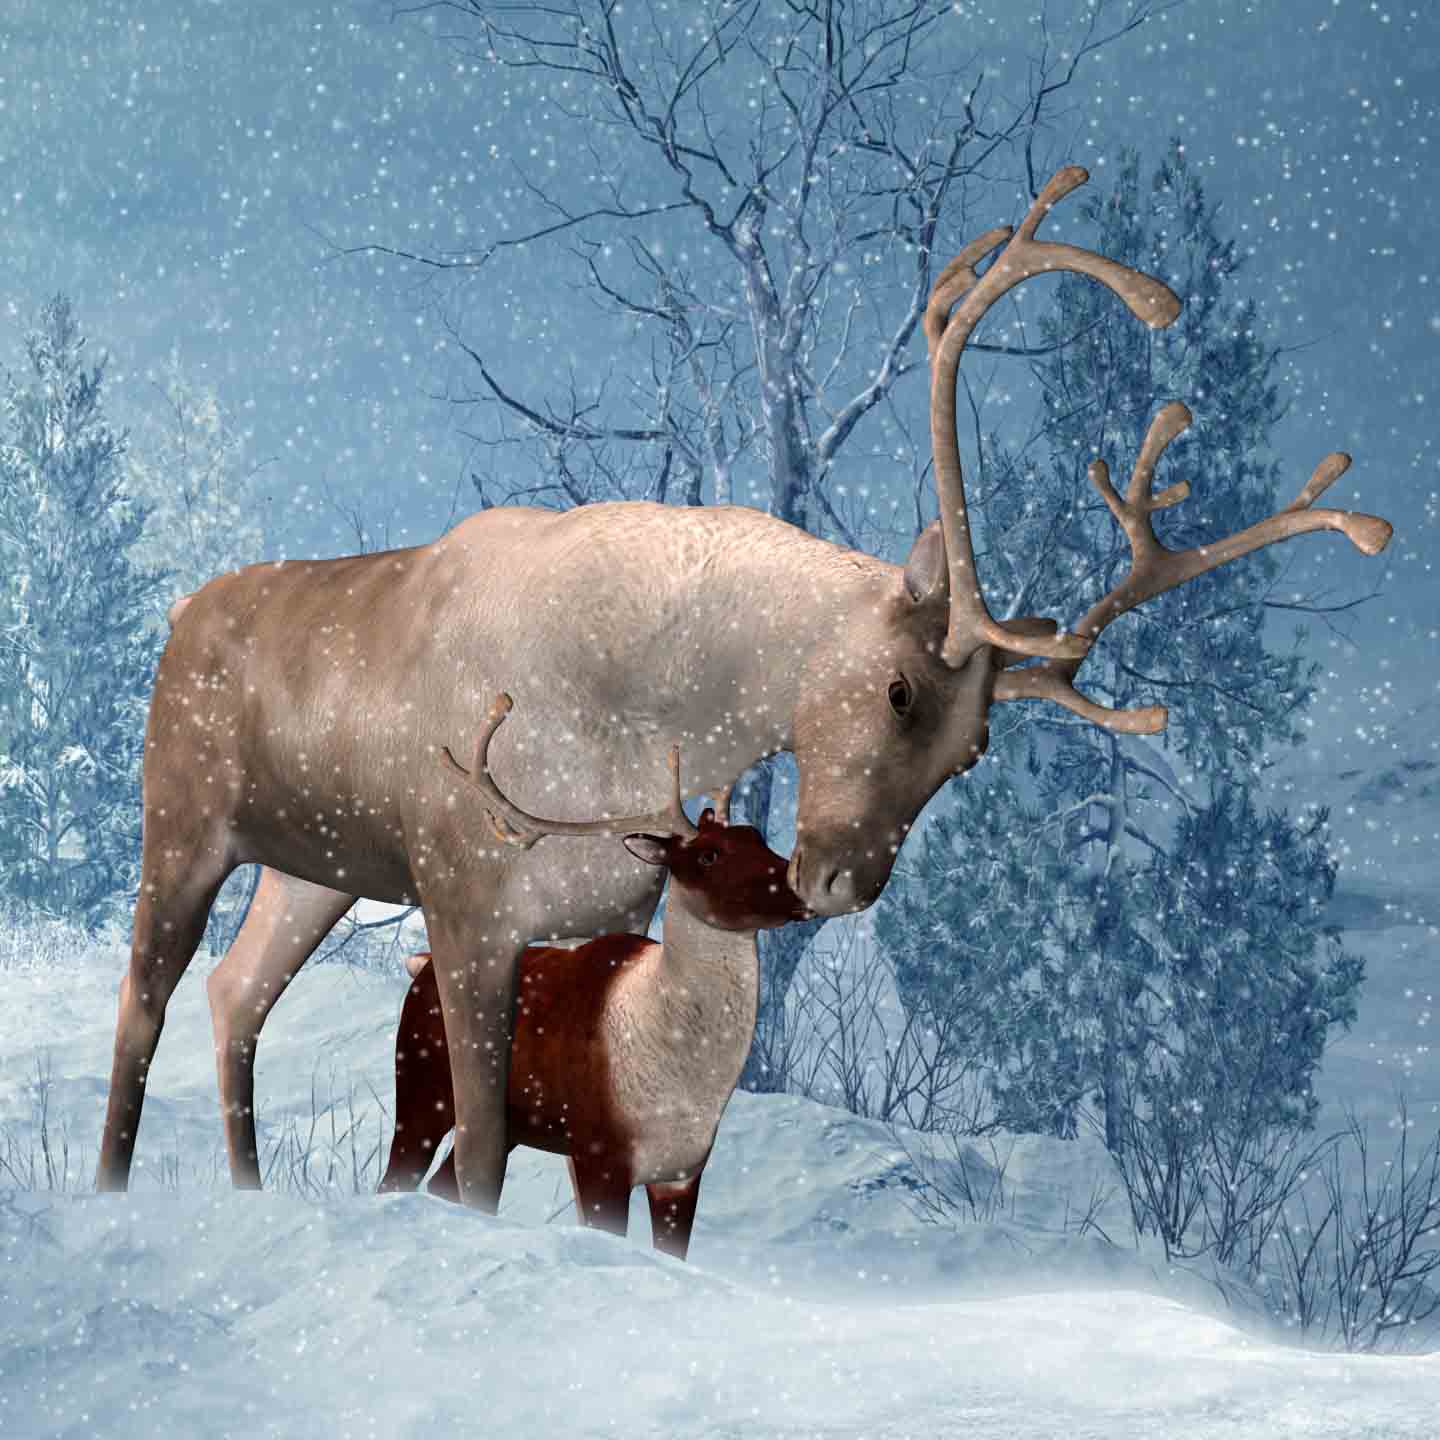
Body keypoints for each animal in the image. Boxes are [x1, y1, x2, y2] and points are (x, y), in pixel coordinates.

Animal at [378, 699, 810, 1258]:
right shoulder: (599, 1152)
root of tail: (420, 965)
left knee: (447, 1180)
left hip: (507, 1123)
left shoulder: (683, 1172)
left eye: (756, 837)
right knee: (399, 1175)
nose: (798, 885)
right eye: (709, 854)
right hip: (423, 1088)